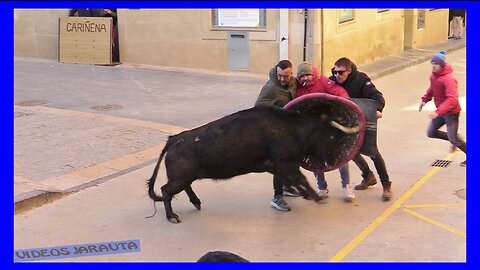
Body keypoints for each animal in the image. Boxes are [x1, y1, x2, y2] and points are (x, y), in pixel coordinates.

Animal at [148, 104, 362, 223]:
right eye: (331, 136)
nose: (333, 160)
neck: (290, 128)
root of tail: (174, 139)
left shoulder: (280, 166)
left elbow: (295, 180)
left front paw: (307, 195)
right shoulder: (285, 163)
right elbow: (301, 179)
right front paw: (316, 197)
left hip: (185, 176)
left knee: (182, 187)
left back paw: (196, 202)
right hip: (180, 177)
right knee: (166, 190)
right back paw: (172, 217)